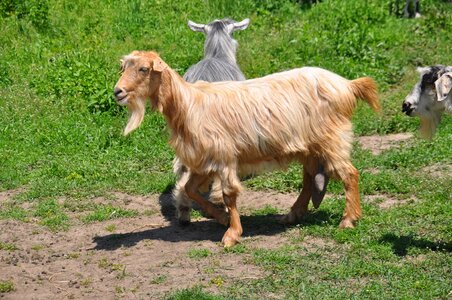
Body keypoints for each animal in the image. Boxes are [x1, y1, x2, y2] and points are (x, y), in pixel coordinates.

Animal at [115, 51, 380, 246]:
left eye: (144, 69)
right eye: (123, 67)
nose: (118, 91)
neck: (188, 105)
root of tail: (347, 85)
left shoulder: (223, 157)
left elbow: (228, 194)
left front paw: (232, 234)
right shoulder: (203, 160)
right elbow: (190, 189)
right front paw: (221, 218)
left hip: (332, 140)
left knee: (350, 174)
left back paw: (348, 220)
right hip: (310, 147)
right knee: (308, 179)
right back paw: (291, 215)